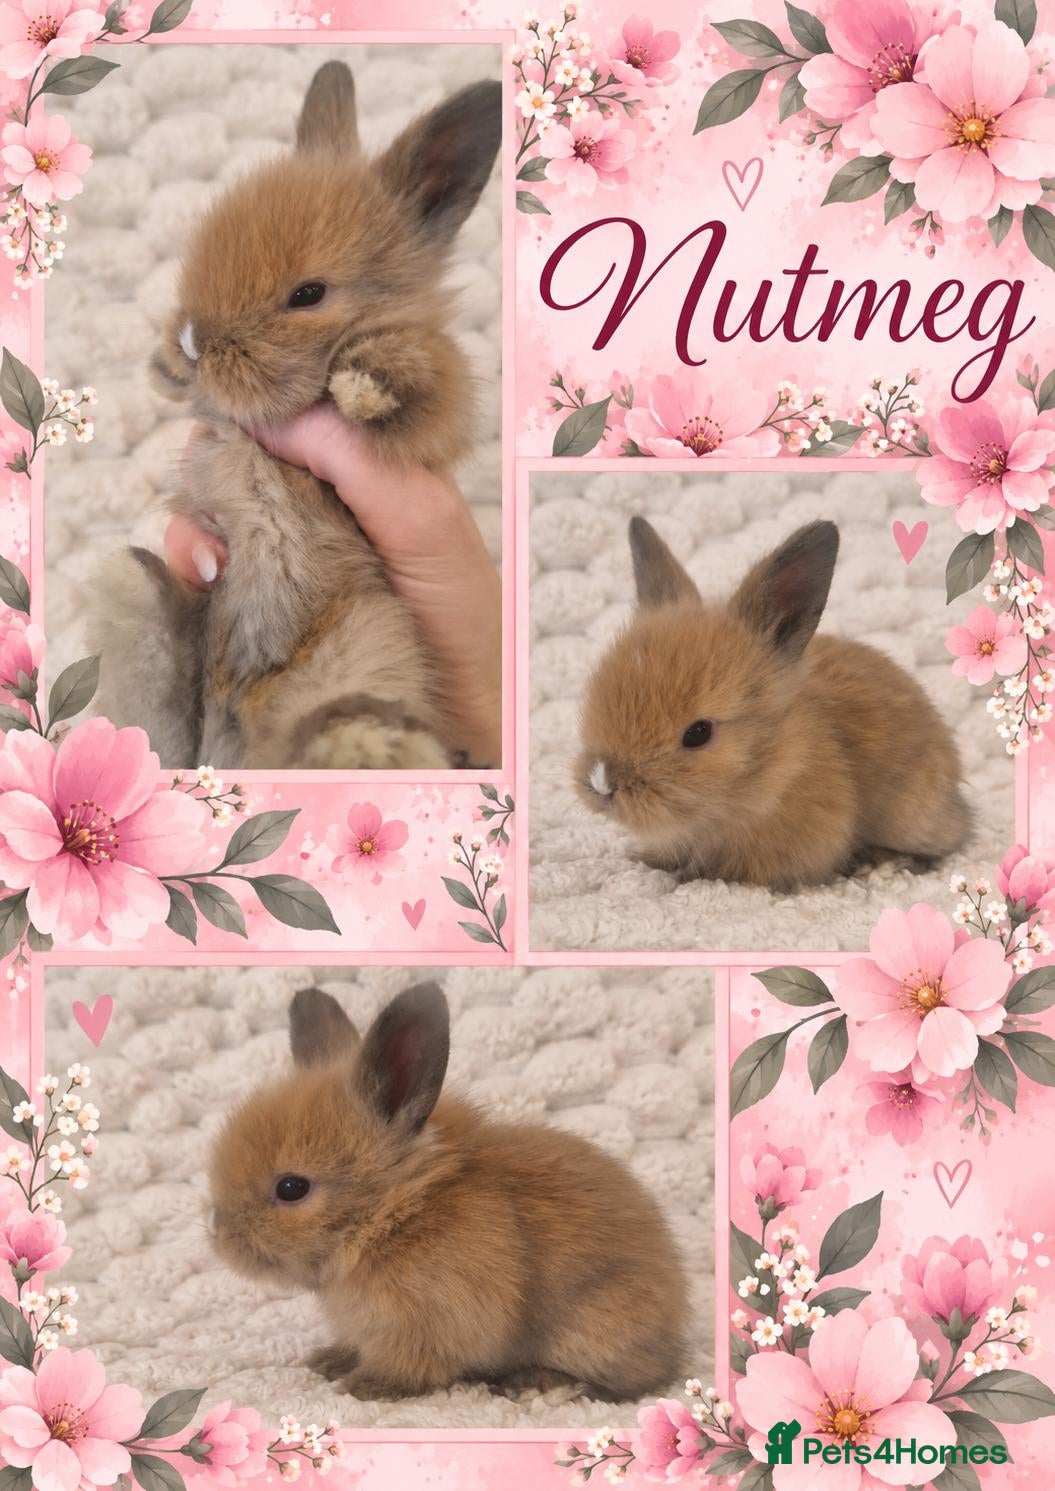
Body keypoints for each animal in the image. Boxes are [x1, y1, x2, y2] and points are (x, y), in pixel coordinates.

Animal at [86, 61, 502, 770]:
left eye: (309, 294)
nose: (191, 343)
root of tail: (232, 726)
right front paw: (163, 370)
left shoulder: (435, 419)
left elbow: (428, 383)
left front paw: (365, 380)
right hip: (160, 605)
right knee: (156, 709)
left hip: (365, 639)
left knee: (325, 720)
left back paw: (367, 740)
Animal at [208, 984, 688, 1401]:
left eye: (291, 1188)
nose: (220, 1239)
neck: (396, 1213)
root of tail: (674, 1336)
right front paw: (328, 1361)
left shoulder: (427, 1326)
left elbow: (412, 1367)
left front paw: (365, 1386)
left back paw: (537, 1383)